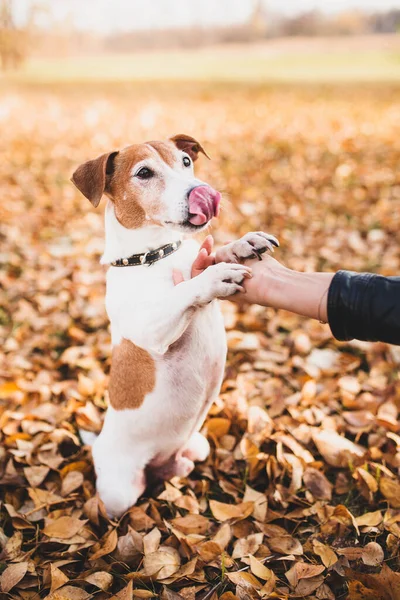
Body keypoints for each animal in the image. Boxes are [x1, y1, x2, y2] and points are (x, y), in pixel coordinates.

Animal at [72, 135, 278, 516]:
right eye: (143, 173)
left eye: (186, 161)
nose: (202, 192)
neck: (157, 256)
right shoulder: (150, 328)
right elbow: (186, 291)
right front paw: (214, 278)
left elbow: (212, 254)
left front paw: (242, 244)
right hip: (118, 493)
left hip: (198, 446)